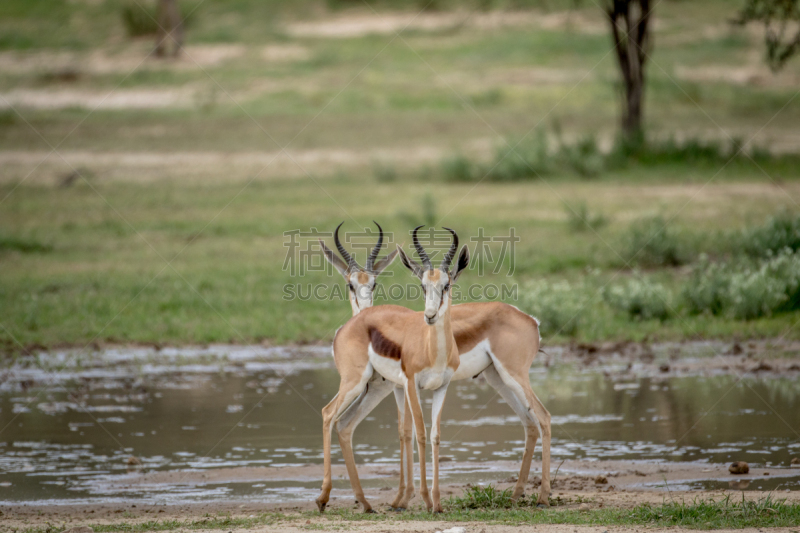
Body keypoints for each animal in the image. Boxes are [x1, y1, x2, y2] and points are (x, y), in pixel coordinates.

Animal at [318, 224, 552, 512]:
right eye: (350, 285)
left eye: (446, 285)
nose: (429, 315)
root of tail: (531, 320)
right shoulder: (403, 386)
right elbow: (413, 433)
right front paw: (410, 499)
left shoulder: (407, 387)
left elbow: (416, 433)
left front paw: (413, 499)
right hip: (497, 379)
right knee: (336, 419)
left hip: (512, 376)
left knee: (542, 418)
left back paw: (541, 497)